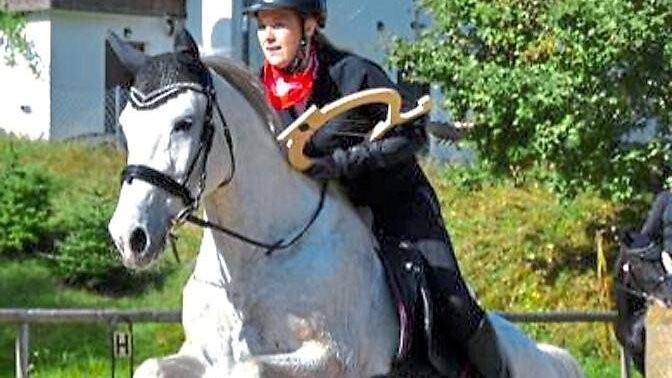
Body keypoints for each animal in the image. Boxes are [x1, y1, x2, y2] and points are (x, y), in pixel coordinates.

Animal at [106, 29, 584, 378]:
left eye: (184, 123)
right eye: (126, 126)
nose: (129, 236)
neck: (258, 258)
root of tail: (550, 357)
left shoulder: (333, 357)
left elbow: (249, 368)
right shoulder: (201, 352)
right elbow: (151, 366)